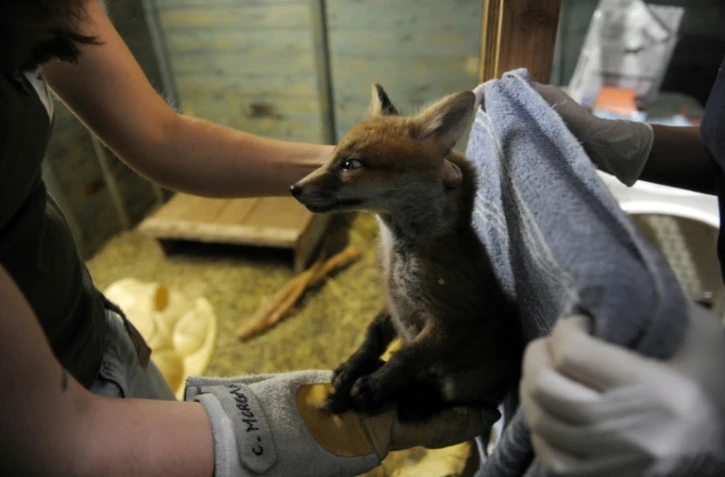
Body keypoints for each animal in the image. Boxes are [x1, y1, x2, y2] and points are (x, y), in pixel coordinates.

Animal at [290, 84, 523, 422]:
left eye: (351, 164)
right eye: (333, 156)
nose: (294, 188)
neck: (397, 254)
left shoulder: (451, 320)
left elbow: (408, 356)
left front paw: (374, 386)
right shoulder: (391, 301)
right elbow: (373, 335)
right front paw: (354, 365)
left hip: (461, 384)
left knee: (445, 395)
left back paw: (413, 401)